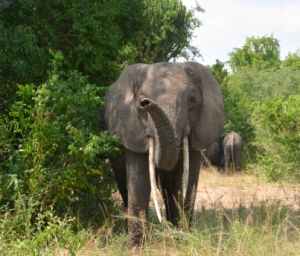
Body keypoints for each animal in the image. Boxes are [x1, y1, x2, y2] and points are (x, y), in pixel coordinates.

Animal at [104, 61, 224, 247]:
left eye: (192, 100)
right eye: (140, 101)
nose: (146, 103)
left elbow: (186, 182)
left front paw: (182, 240)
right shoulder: (132, 128)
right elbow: (139, 181)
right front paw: (135, 246)